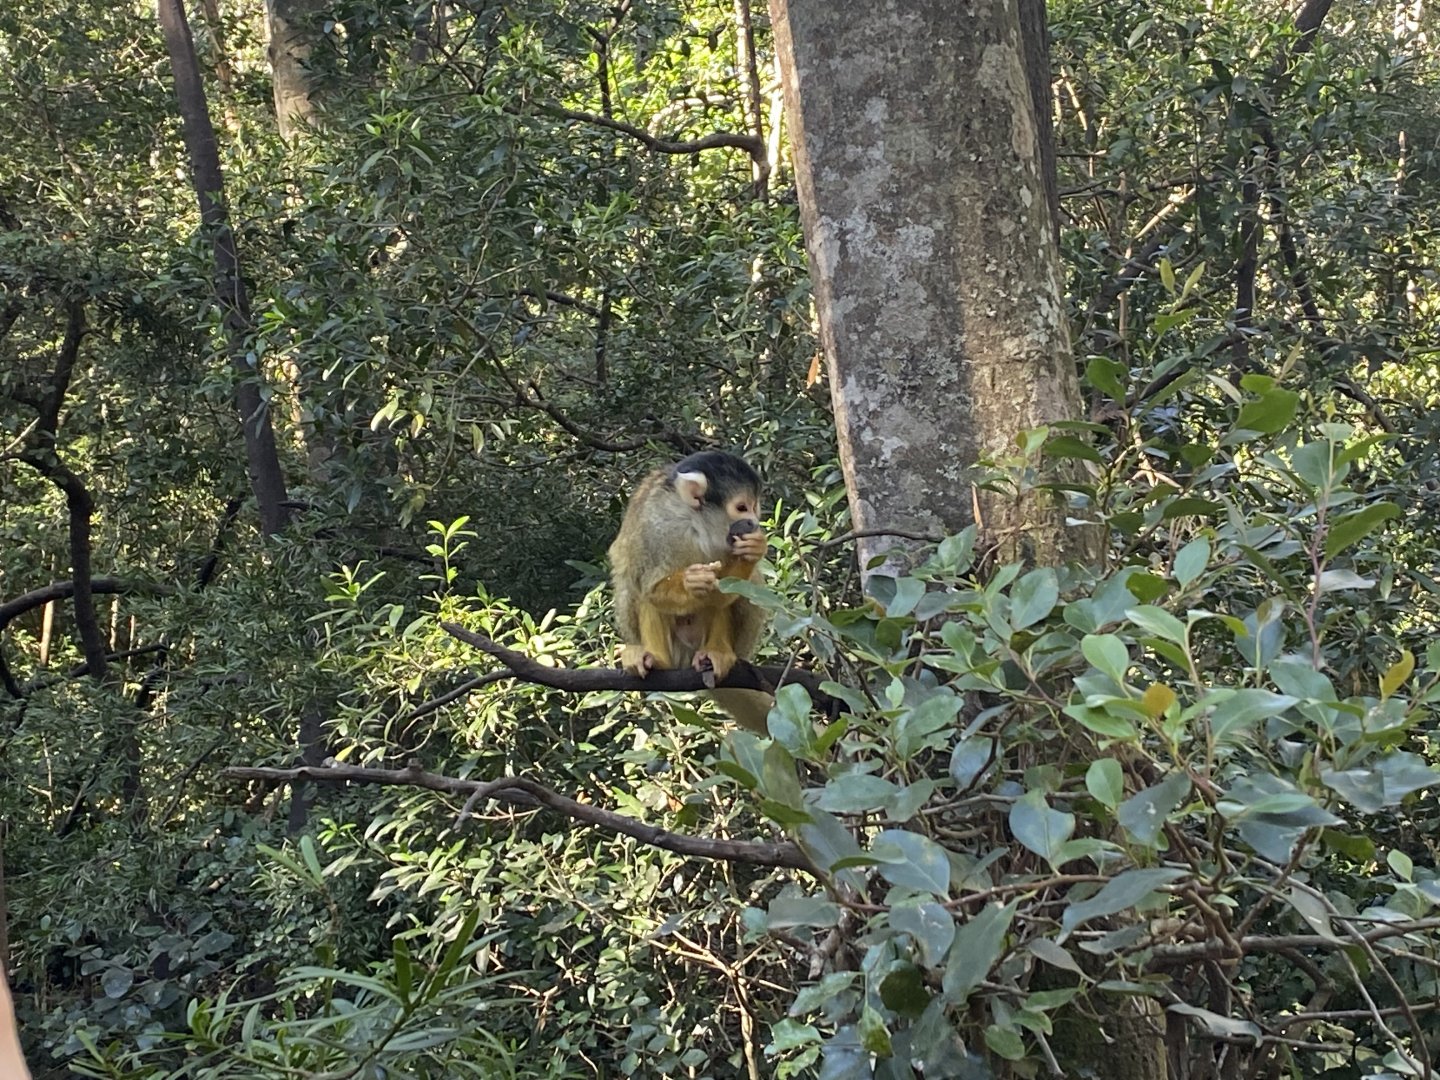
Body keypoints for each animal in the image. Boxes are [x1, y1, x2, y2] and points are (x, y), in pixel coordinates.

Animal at [608, 451, 773, 732]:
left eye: (755, 507)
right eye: (742, 507)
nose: (753, 522)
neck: (696, 524)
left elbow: (724, 592)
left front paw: (753, 549)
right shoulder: (657, 528)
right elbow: (652, 588)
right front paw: (690, 582)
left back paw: (716, 654)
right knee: (636, 583)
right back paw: (655, 659)